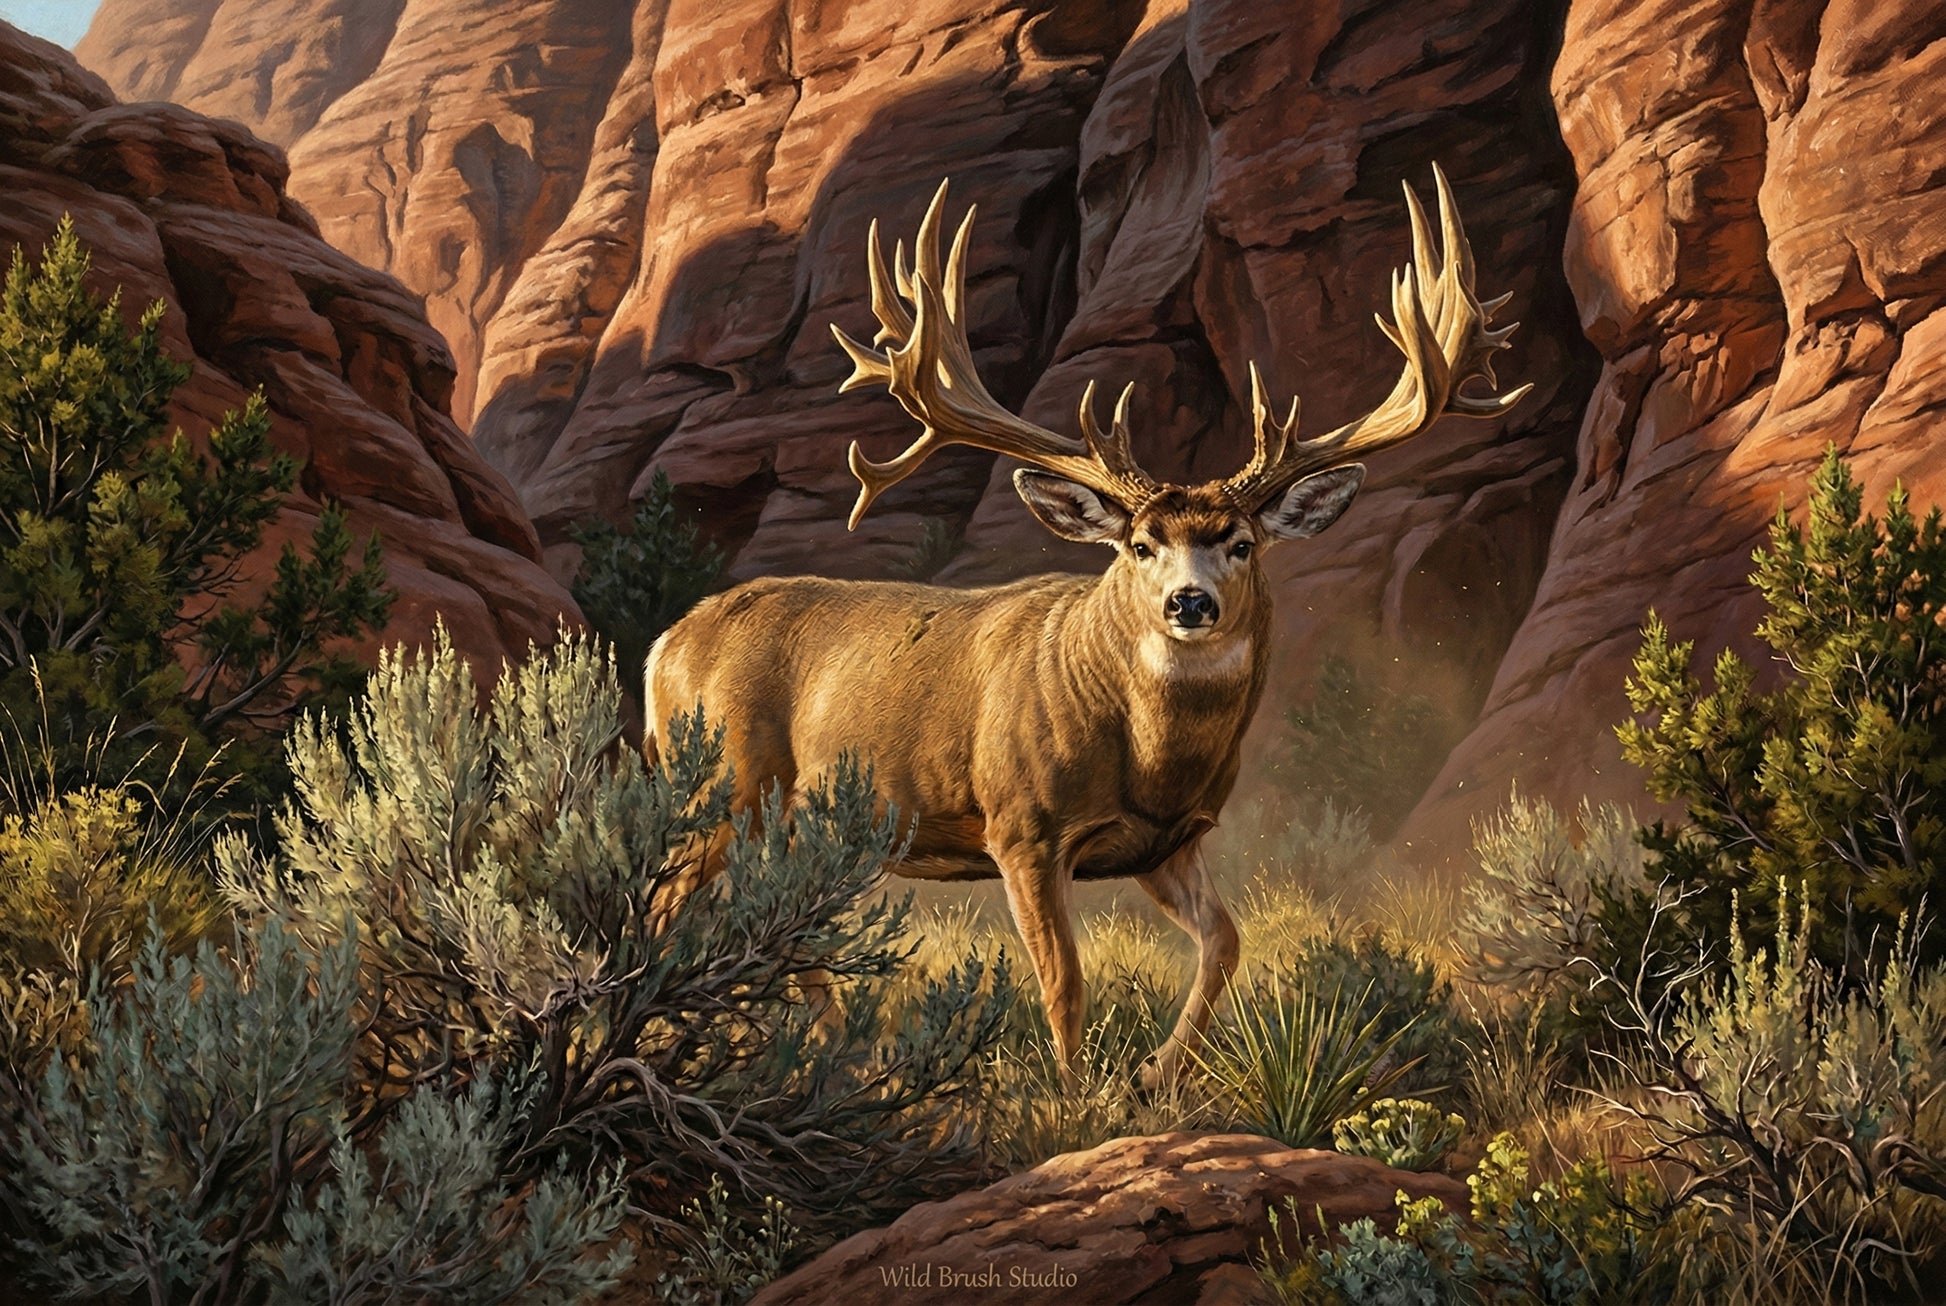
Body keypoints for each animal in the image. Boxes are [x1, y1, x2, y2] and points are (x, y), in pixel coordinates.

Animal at [644, 165, 1529, 1082]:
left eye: (1241, 541)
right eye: (1141, 545)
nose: (1190, 602)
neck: (1145, 758)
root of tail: (665, 645)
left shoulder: (1169, 843)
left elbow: (1226, 944)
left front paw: (1155, 1072)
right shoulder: (1021, 827)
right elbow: (1064, 981)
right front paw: (1075, 1093)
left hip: (785, 824)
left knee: (785, 927)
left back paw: (839, 1055)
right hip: (720, 787)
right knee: (664, 906)